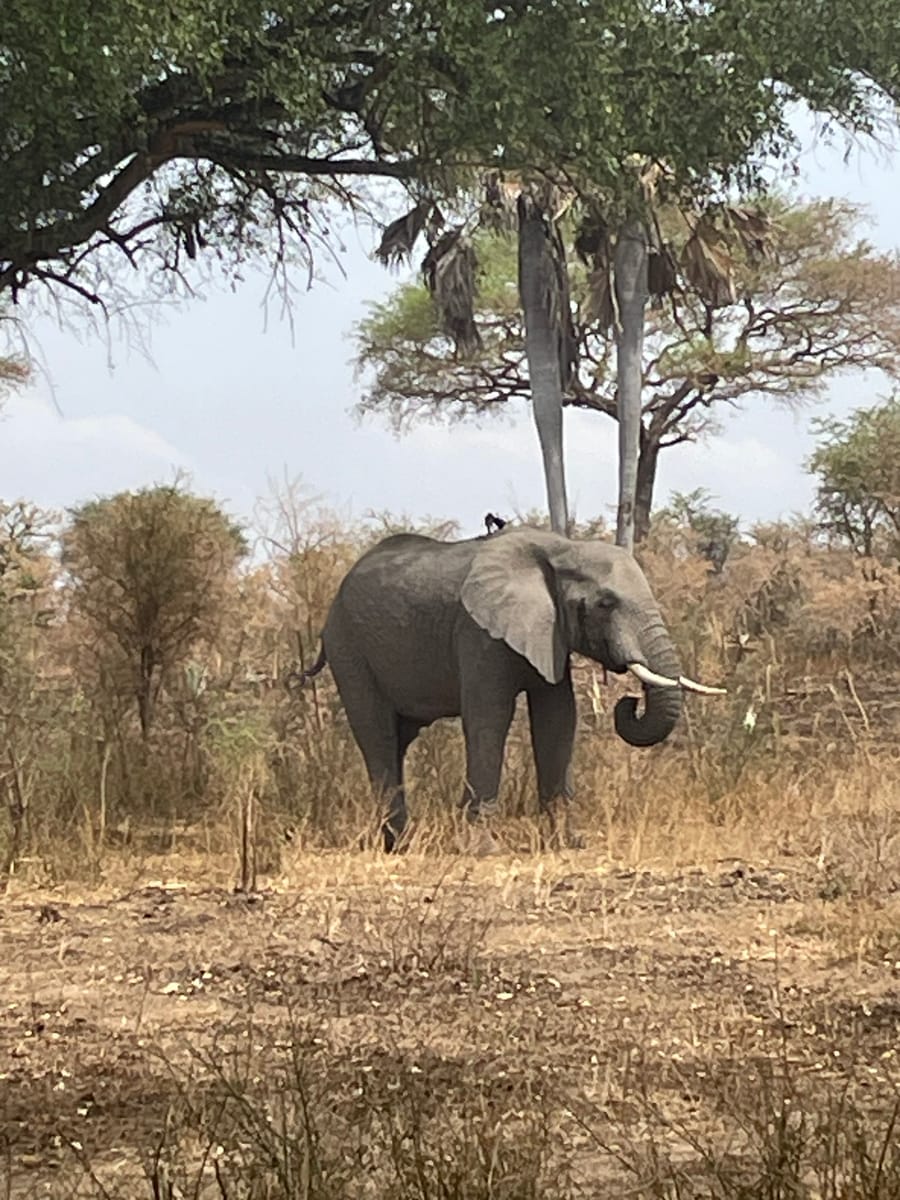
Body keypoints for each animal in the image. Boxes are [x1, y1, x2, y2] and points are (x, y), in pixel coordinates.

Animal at [298, 525, 723, 852]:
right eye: (606, 603)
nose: (629, 701)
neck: (560, 547)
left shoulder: (550, 631)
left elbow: (557, 717)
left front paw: (568, 843)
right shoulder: (478, 632)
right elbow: (490, 717)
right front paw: (481, 849)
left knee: (398, 738)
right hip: (349, 649)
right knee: (378, 734)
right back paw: (400, 845)